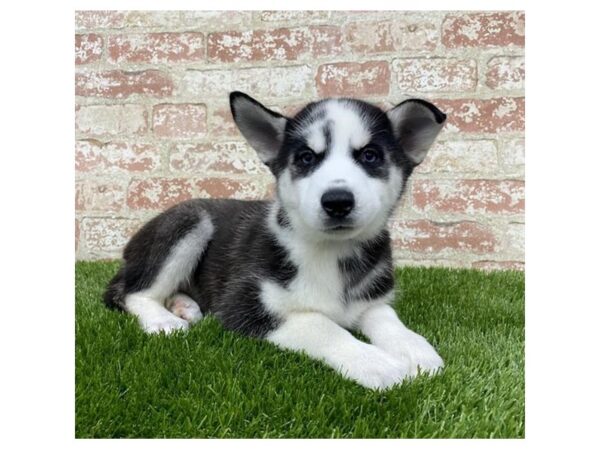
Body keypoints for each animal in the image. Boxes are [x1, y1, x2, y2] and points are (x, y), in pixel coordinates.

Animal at [105, 92, 448, 390]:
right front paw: (378, 362)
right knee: (130, 293)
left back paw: (183, 304)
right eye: (306, 158)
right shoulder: (243, 305)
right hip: (189, 222)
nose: (337, 201)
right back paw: (163, 319)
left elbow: (388, 318)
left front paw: (415, 349)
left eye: (370, 155)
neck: (330, 251)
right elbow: (322, 325)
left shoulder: (370, 299)